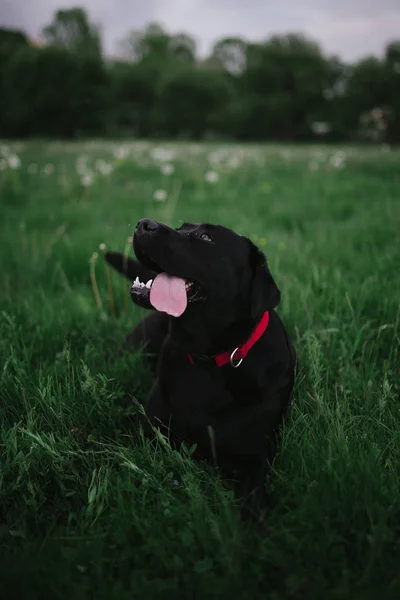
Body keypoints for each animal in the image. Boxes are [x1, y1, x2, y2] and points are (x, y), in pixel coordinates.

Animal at [106, 218, 296, 516]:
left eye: (206, 238)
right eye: (181, 227)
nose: (144, 223)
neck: (210, 359)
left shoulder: (254, 454)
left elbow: (255, 502)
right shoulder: (148, 433)